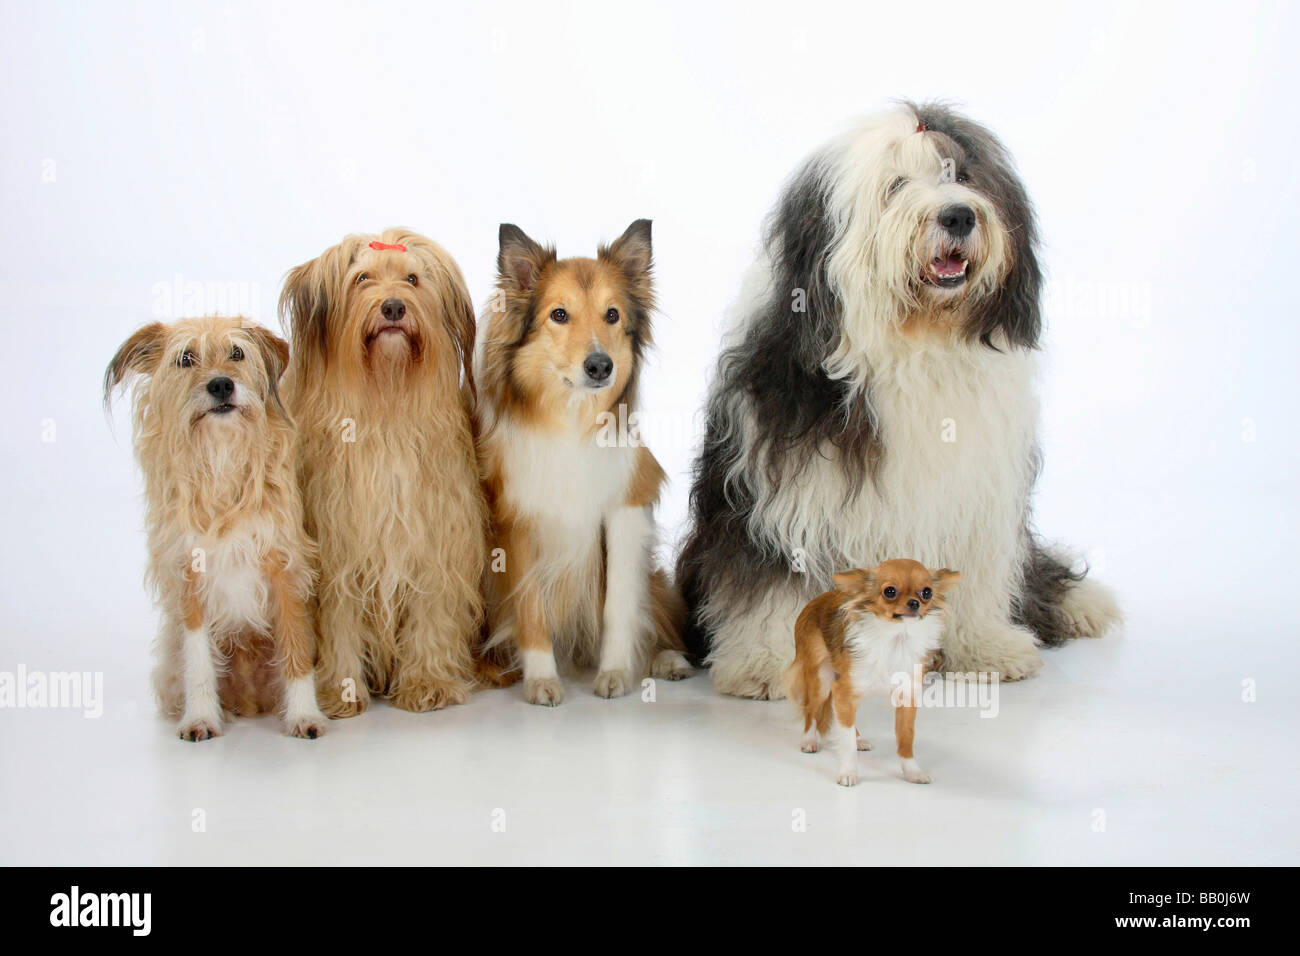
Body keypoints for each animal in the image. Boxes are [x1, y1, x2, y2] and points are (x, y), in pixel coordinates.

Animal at [104, 317, 327, 743]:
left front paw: (305, 715)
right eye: (185, 358)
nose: (221, 385)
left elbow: (295, 650)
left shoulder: (284, 567)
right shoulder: (189, 575)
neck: (222, 458)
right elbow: (198, 659)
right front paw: (201, 718)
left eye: (237, 353)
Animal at [280, 227, 488, 712]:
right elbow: (339, 622)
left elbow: (432, 613)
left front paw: (428, 681)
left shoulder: (436, 542)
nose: (393, 307)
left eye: (412, 279)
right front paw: (341, 690)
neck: (387, 409)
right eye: (362, 279)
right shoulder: (338, 551)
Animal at [478, 221, 696, 707]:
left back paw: (668, 659)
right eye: (559, 315)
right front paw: (541, 680)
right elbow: (531, 611)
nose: (600, 366)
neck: (571, 420)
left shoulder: (624, 509)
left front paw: (614, 673)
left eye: (612, 315)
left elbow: (618, 603)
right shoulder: (516, 523)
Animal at [676, 104, 1123, 697]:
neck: (914, 345)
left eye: (963, 176)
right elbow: (770, 584)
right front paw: (771, 665)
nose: (958, 216)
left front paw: (984, 649)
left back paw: (1080, 604)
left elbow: (972, 576)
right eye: (895, 186)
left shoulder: (974, 495)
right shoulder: (774, 493)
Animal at [785, 561, 961, 785]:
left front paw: (912, 771)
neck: (895, 639)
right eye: (890, 591)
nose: (915, 603)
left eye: (927, 592)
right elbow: (846, 742)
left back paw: (858, 738)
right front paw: (848, 772)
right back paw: (809, 740)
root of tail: (813, 602)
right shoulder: (844, 691)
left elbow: (906, 737)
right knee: (811, 709)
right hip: (821, 679)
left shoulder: (906, 697)